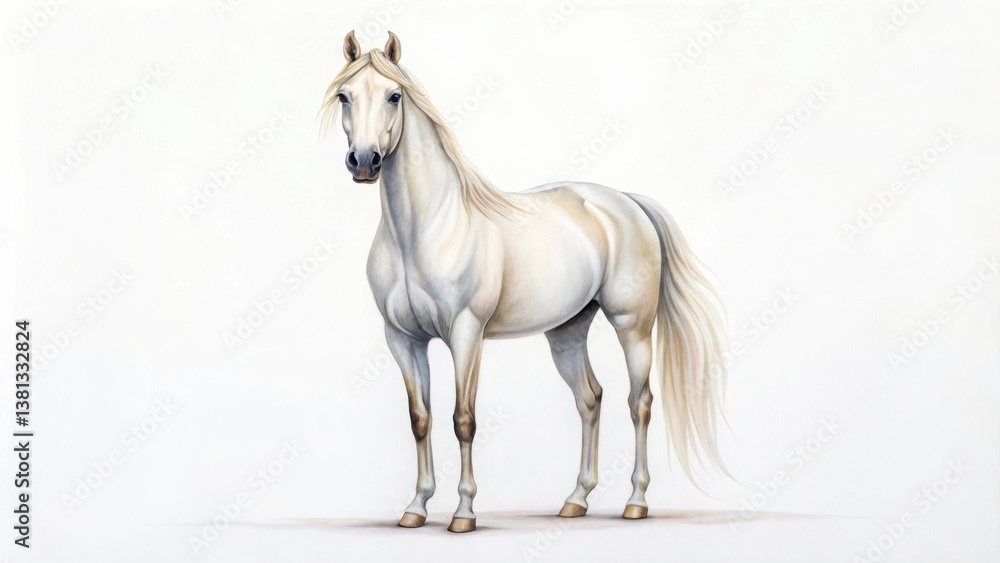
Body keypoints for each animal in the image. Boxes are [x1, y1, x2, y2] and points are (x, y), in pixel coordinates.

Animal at [322, 31, 729, 533]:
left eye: (394, 95)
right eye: (344, 96)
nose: (364, 161)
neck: (423, 230)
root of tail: (627, 202)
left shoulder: (465, 334)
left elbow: (463, 419)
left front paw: (463, 513)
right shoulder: (402, 339)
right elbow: (420, 418)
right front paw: (415, 508)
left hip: (632, 327)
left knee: (640, 402)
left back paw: (635, 502)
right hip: (567, 333)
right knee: (590, 398)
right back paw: (576, 499)